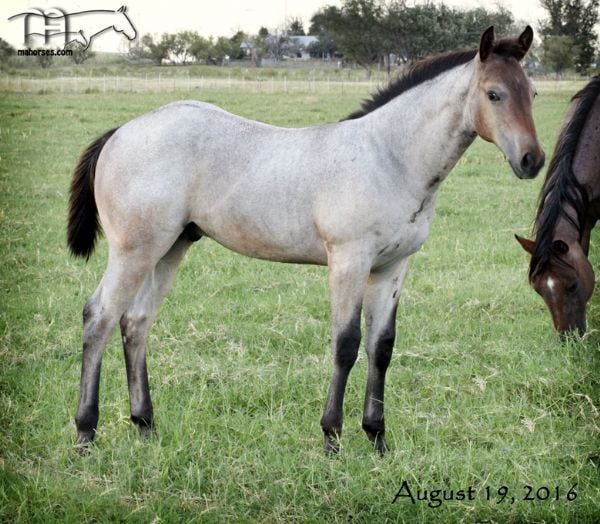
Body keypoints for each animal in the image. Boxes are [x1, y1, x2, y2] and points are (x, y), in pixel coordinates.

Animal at [69, 26, 544, 452]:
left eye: (533, 93)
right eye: (494, 94)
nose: (532, 160)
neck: (389, 157)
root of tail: (120, 131)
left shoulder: (393, 267)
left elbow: (382, 346)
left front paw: (377, 438)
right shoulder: (349, 260)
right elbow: (346, 343)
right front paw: (332, 437)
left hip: (171, 247)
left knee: (136, 322)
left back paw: (145, 426)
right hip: (134, 250)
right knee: (100, 317)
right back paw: (85, 432)